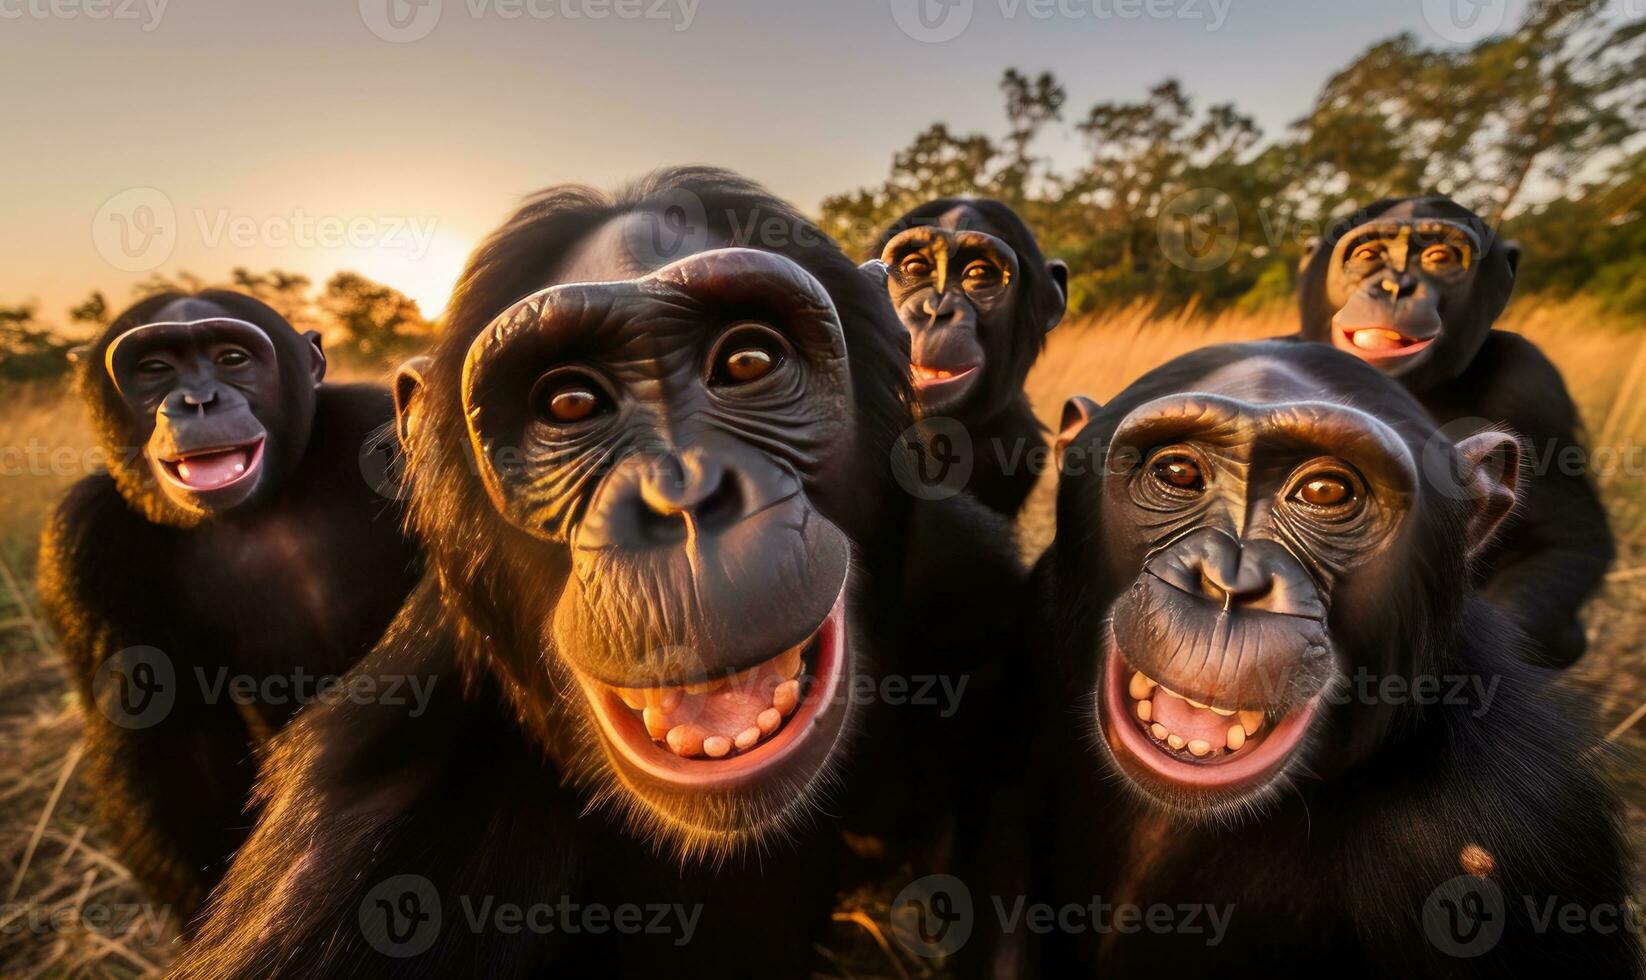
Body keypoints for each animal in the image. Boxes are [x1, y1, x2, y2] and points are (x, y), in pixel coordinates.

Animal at [37, 289, 424, 922]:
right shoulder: (85, 540)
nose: (198, 400)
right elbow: (172, 747)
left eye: (232, 358)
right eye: (155, 368)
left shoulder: (380, 425)